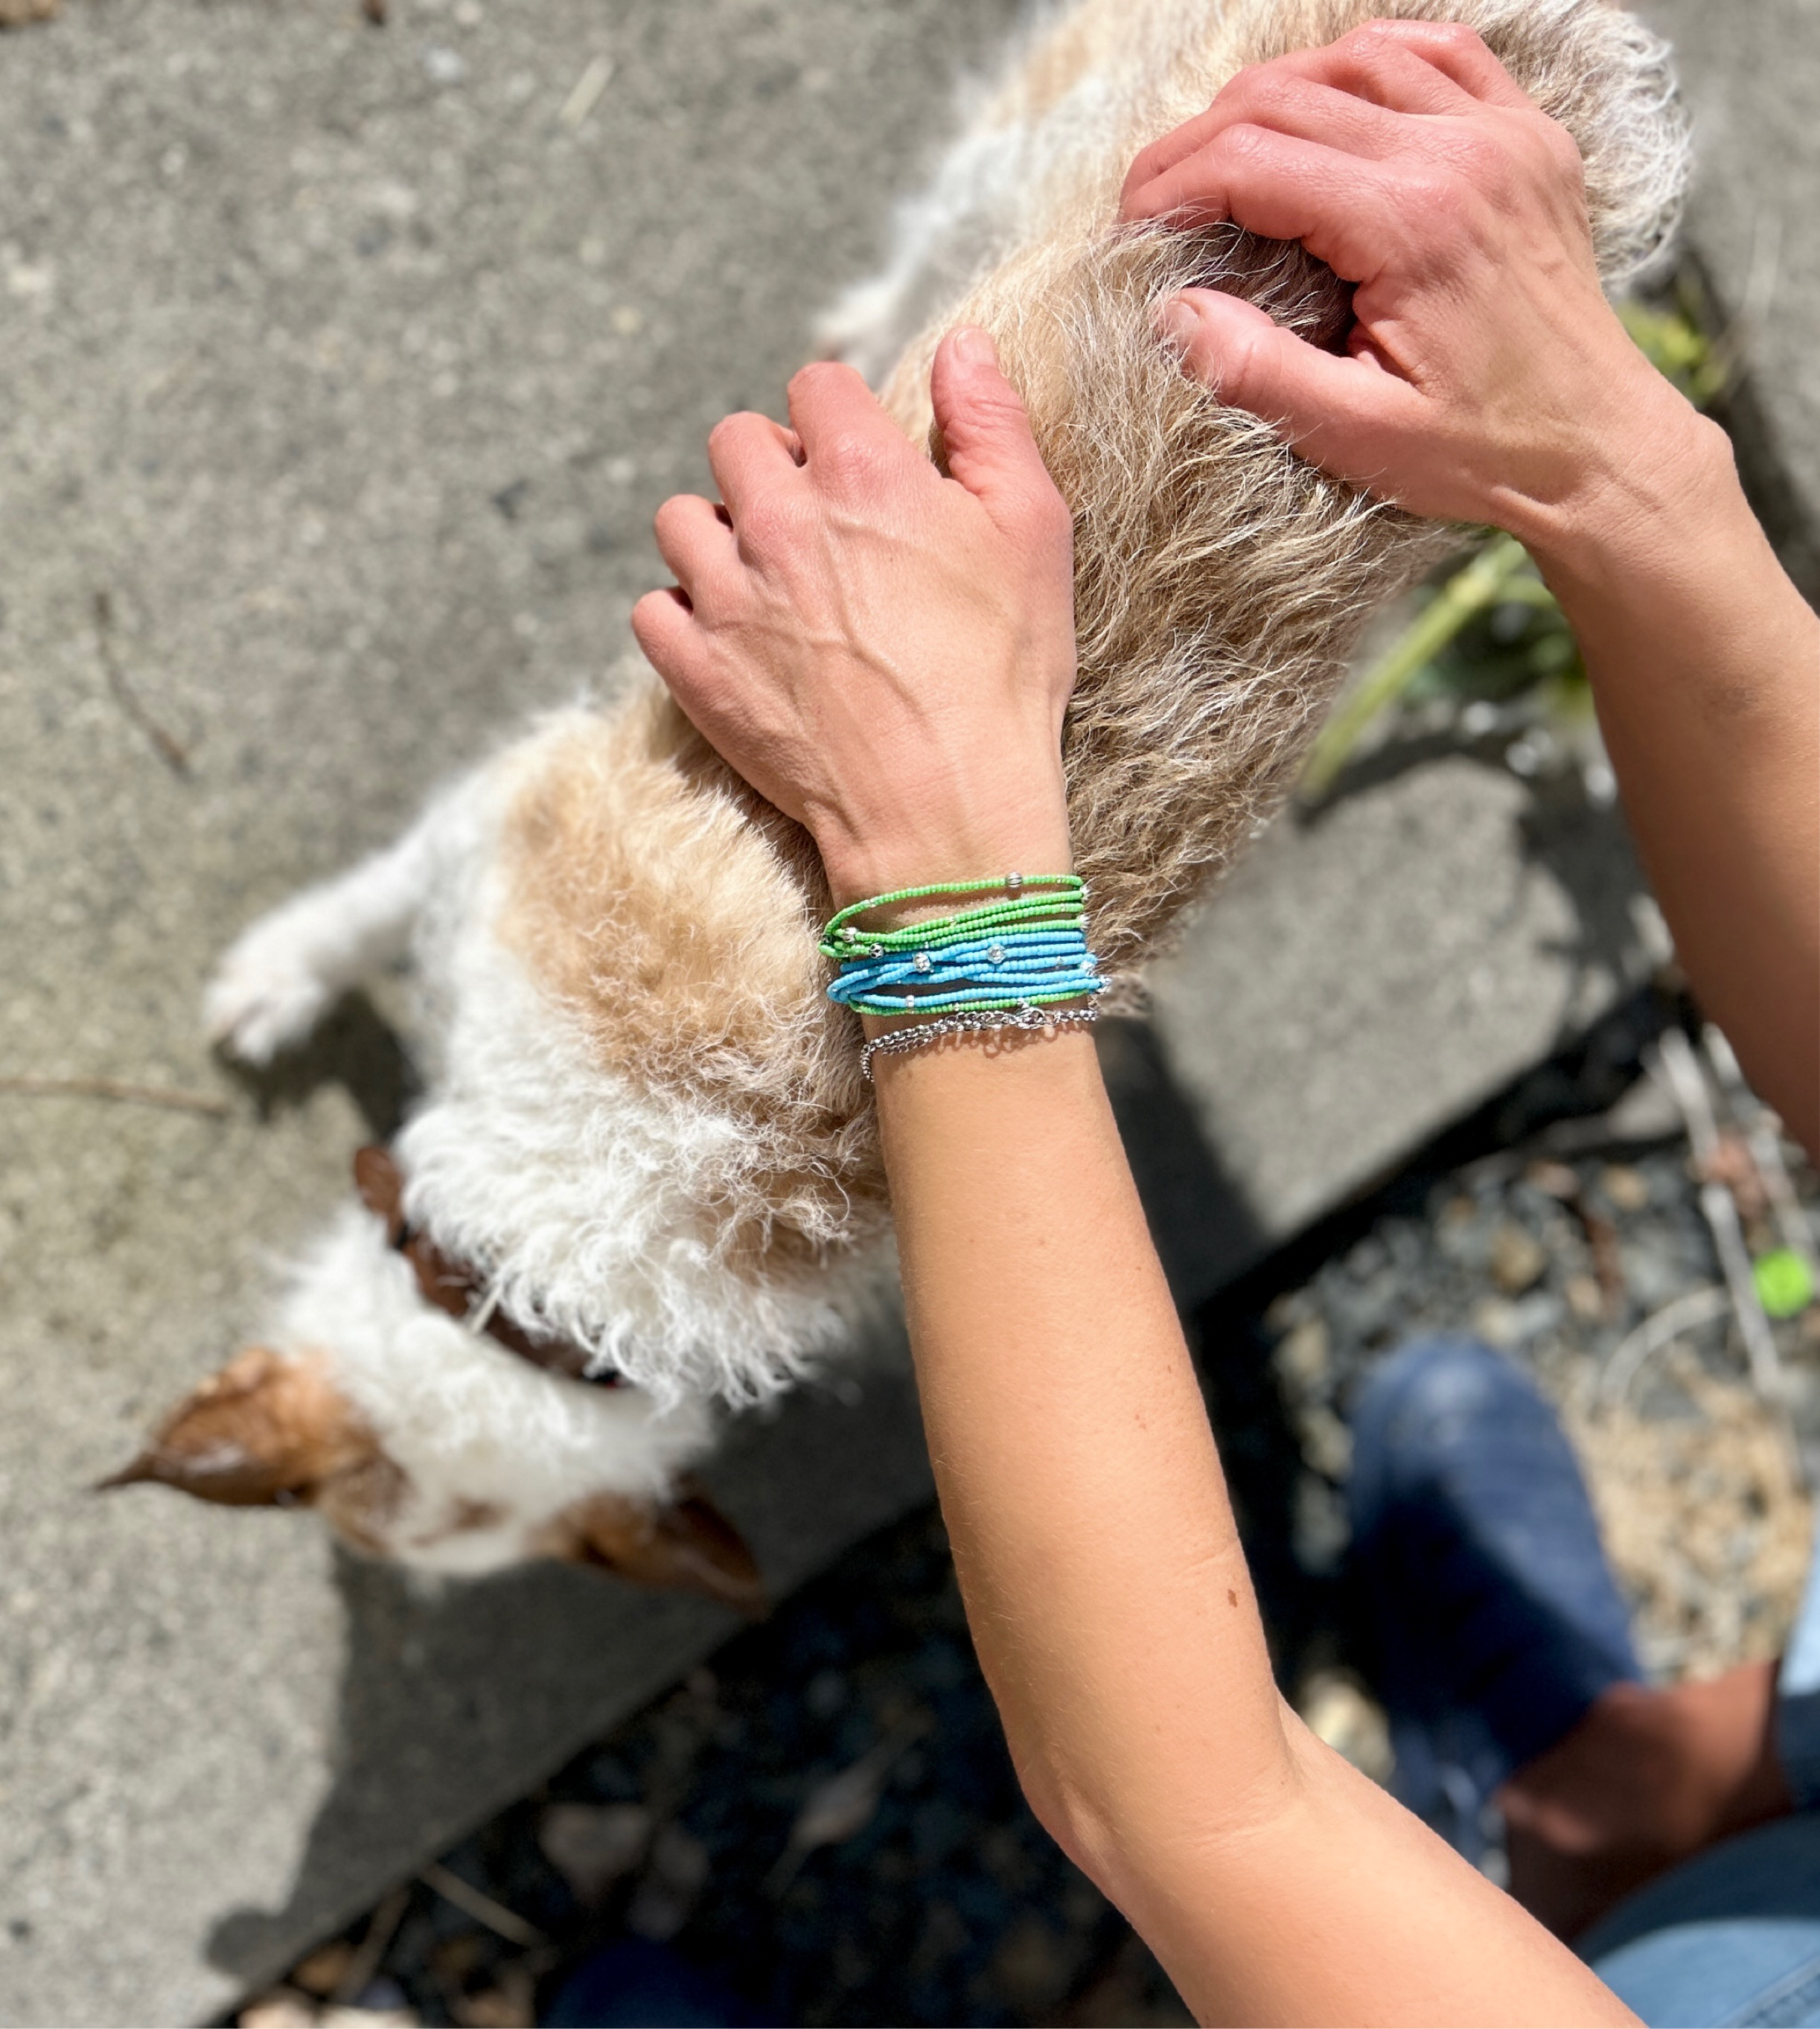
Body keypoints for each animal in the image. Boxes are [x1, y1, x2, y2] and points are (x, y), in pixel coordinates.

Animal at [106, 0, 1679, 1599]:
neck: (599, 1212)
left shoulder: (502, 845)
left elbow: (368, 902)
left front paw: (277, 978)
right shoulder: (495, 834)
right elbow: (359, 911)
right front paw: (280, 980)